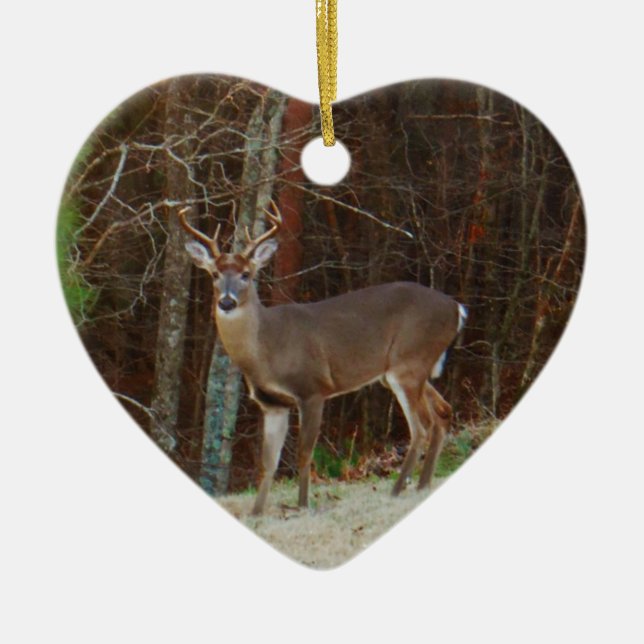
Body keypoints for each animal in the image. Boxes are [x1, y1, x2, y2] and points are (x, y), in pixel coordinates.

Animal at [178, 202, 467, 515]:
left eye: (246, 274)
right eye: (215, 274)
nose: (227, 302)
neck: (267, 349)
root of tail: (457, 308)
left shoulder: (313, 389)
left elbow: (304, 454)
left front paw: (302, 505)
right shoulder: (273, 404)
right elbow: (268, 463)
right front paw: (256, 513)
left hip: (407, 363)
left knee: (421, 427)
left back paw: (397, 490)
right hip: (408, 370)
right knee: (442, 413)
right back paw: (422, 485)